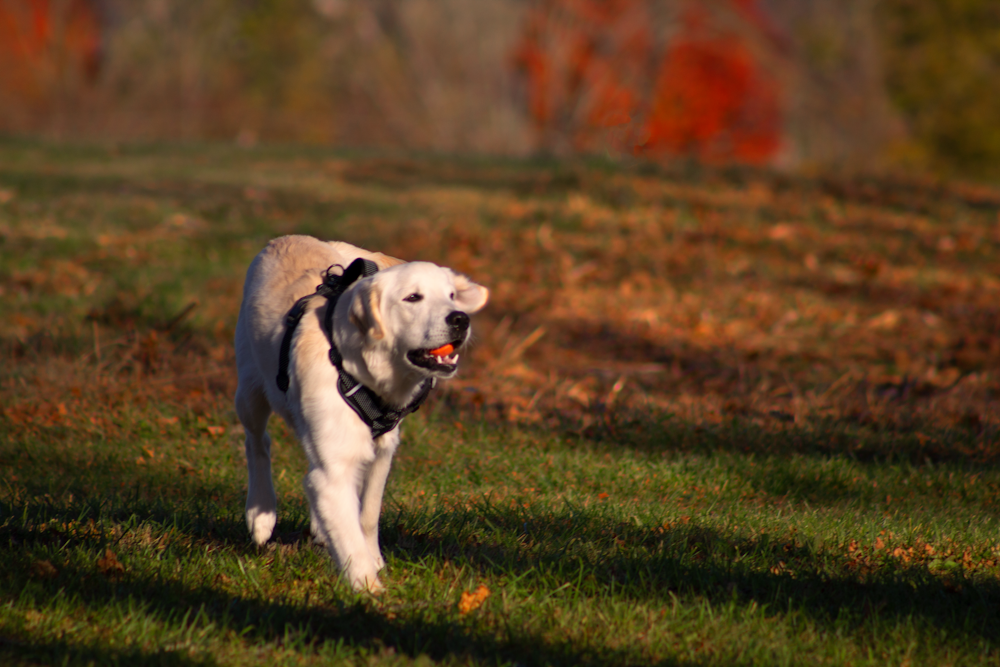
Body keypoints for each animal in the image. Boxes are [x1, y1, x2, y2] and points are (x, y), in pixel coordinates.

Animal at [231, 237, 488, 592]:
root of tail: (285, 239)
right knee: (257, 443)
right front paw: (369, 589)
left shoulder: (381, 451)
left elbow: (365, 515)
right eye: (413, 297)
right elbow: (348, 534)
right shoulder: (335, 463)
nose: (460, 318)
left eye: (450, 295)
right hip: (250, 391)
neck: (358, 368)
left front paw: (373, 559)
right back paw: (261, 514)